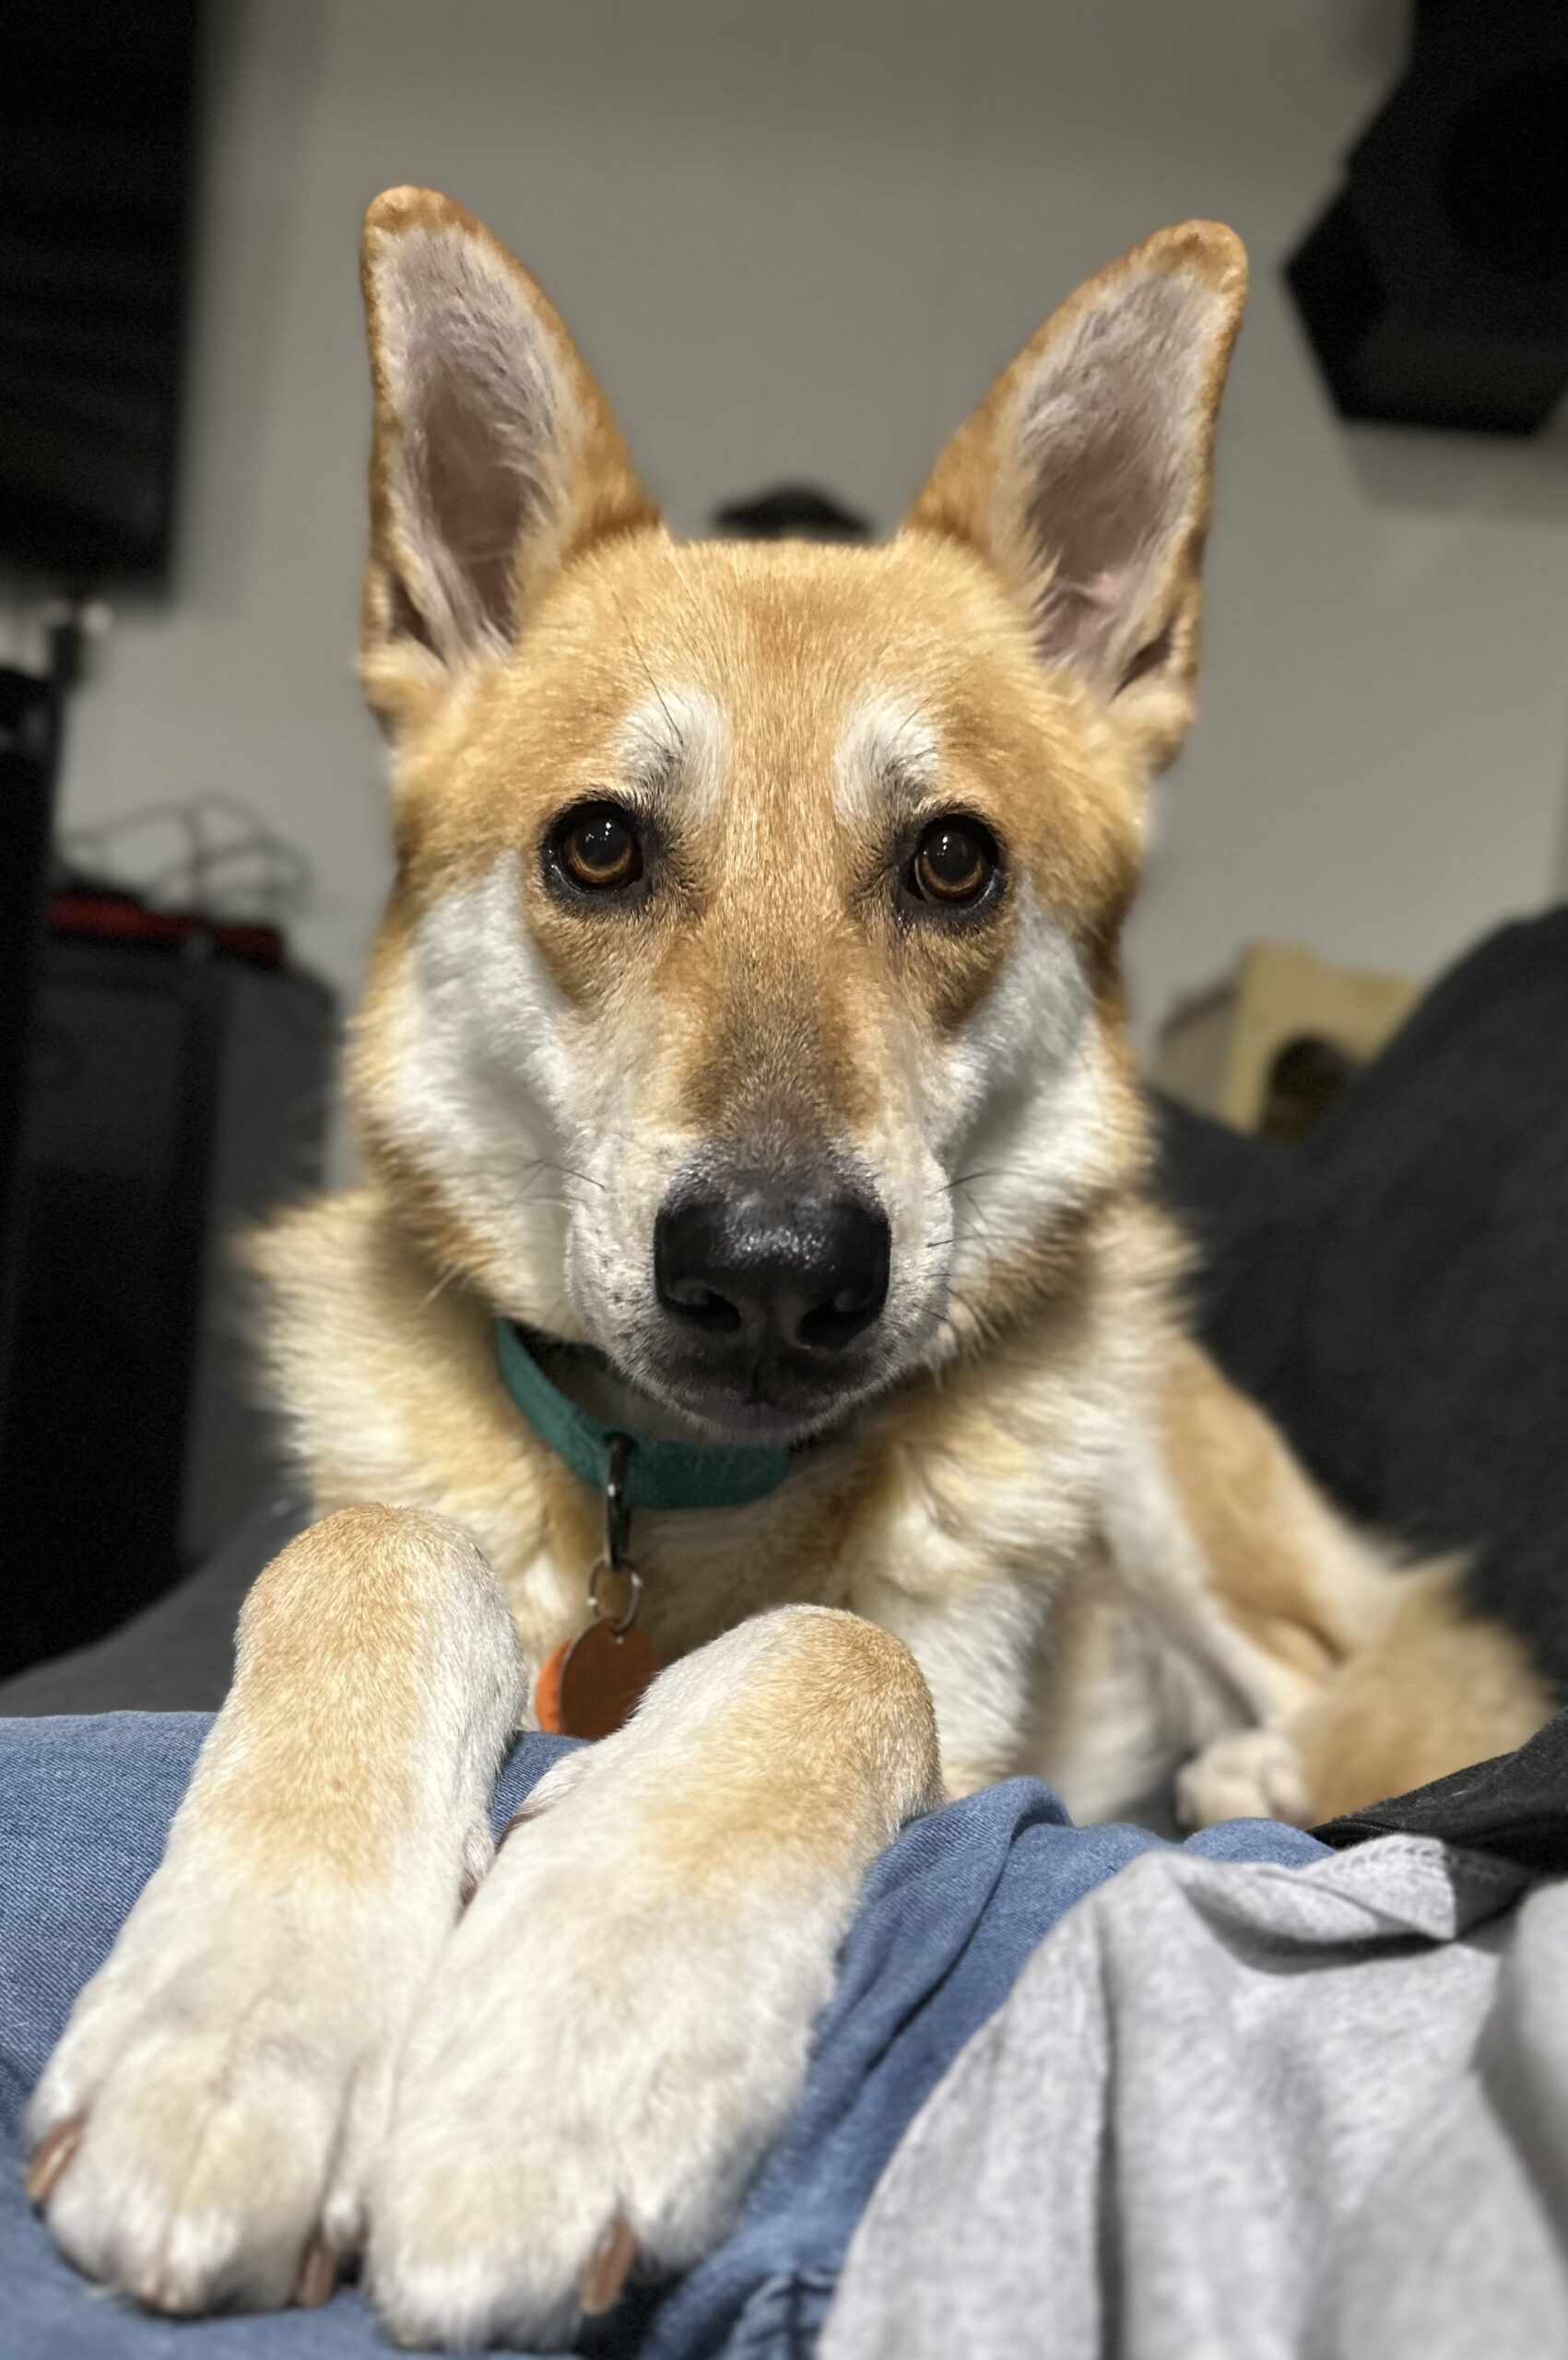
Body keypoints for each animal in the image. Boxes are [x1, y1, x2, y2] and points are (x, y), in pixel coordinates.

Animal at [26, 189, 1551, 2348]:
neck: (666, 1500)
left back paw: (1251, 1755)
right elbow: (369, 1553)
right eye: (594, 848)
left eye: (951, 863)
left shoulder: (955, 1707)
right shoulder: (386, 1528)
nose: (770, 1270)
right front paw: (237, 2029)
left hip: (1162, 1465)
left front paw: (570, 2039)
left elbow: (841, 1653)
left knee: (1362, 1668)